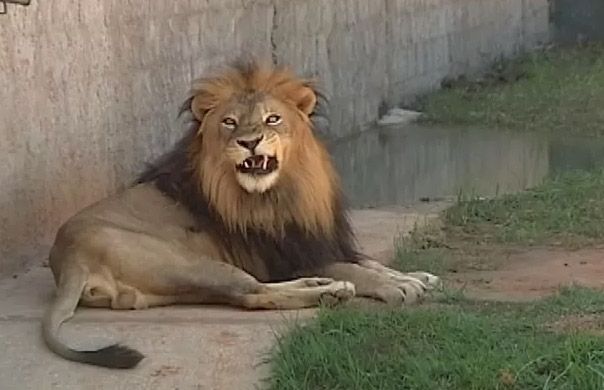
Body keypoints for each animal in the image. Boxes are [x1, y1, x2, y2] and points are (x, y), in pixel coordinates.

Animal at [42, 61, 438, 368]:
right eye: (230, 122)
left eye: (272, 119)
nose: (249, 142)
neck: (285, 192)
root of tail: (68, 259)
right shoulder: (285, 257)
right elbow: (354, 269)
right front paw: (396, 287)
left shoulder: (318, 241)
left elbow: (369, 262)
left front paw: (416, 275)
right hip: (189, 264)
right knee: (253, 294)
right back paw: (330, 291)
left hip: (168, 290)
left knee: (247, 292)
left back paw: (321, 287)